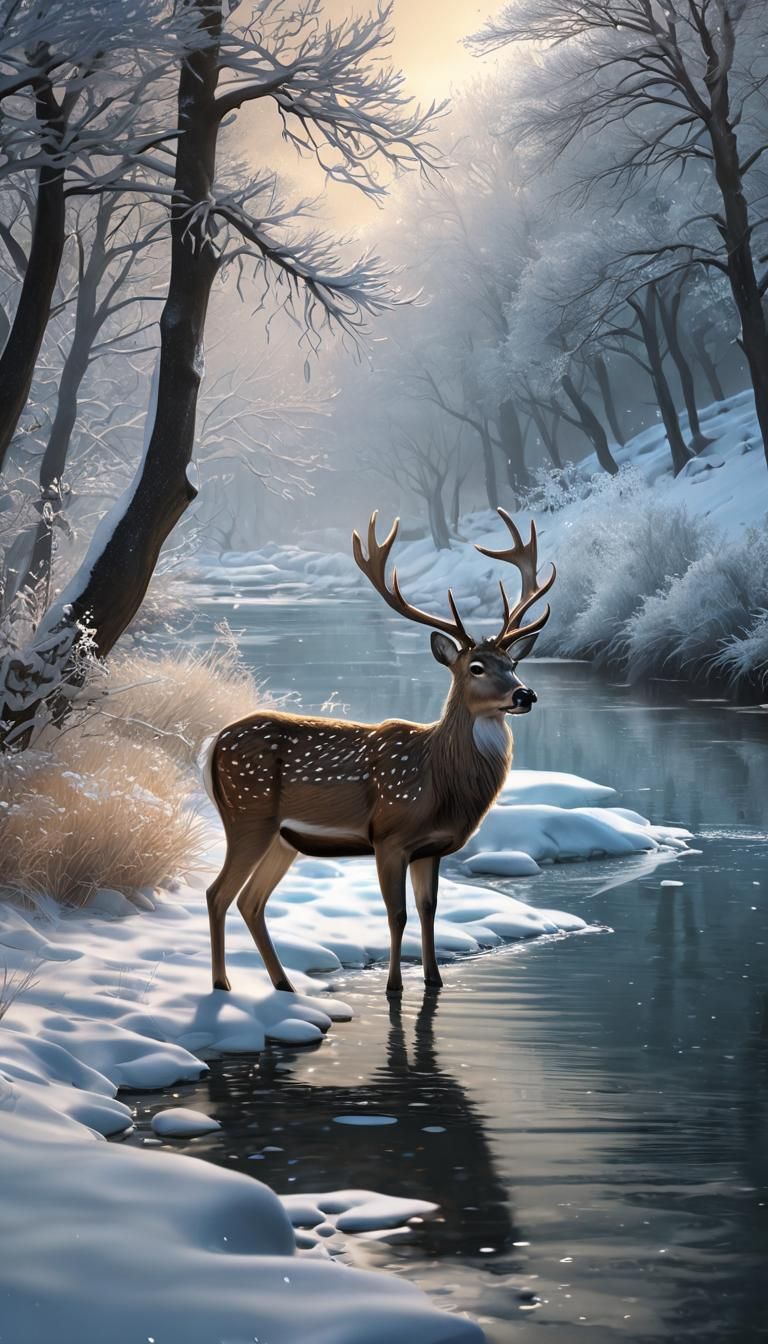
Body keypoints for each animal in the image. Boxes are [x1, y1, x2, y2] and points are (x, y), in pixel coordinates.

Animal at [203, 508, 556, 997]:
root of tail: (212, 745)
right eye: (476, 667)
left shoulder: (430, 848)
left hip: (283, 837)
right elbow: (397, 913)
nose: (526, 695)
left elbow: (428, 910)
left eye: (514, 663)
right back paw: (222, 986)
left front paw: (435, 980)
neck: (439, 777)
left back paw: (283, 985)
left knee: (251, 900)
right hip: (247, 815)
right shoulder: (390, 835)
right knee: (218, 893)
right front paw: (393, 987)